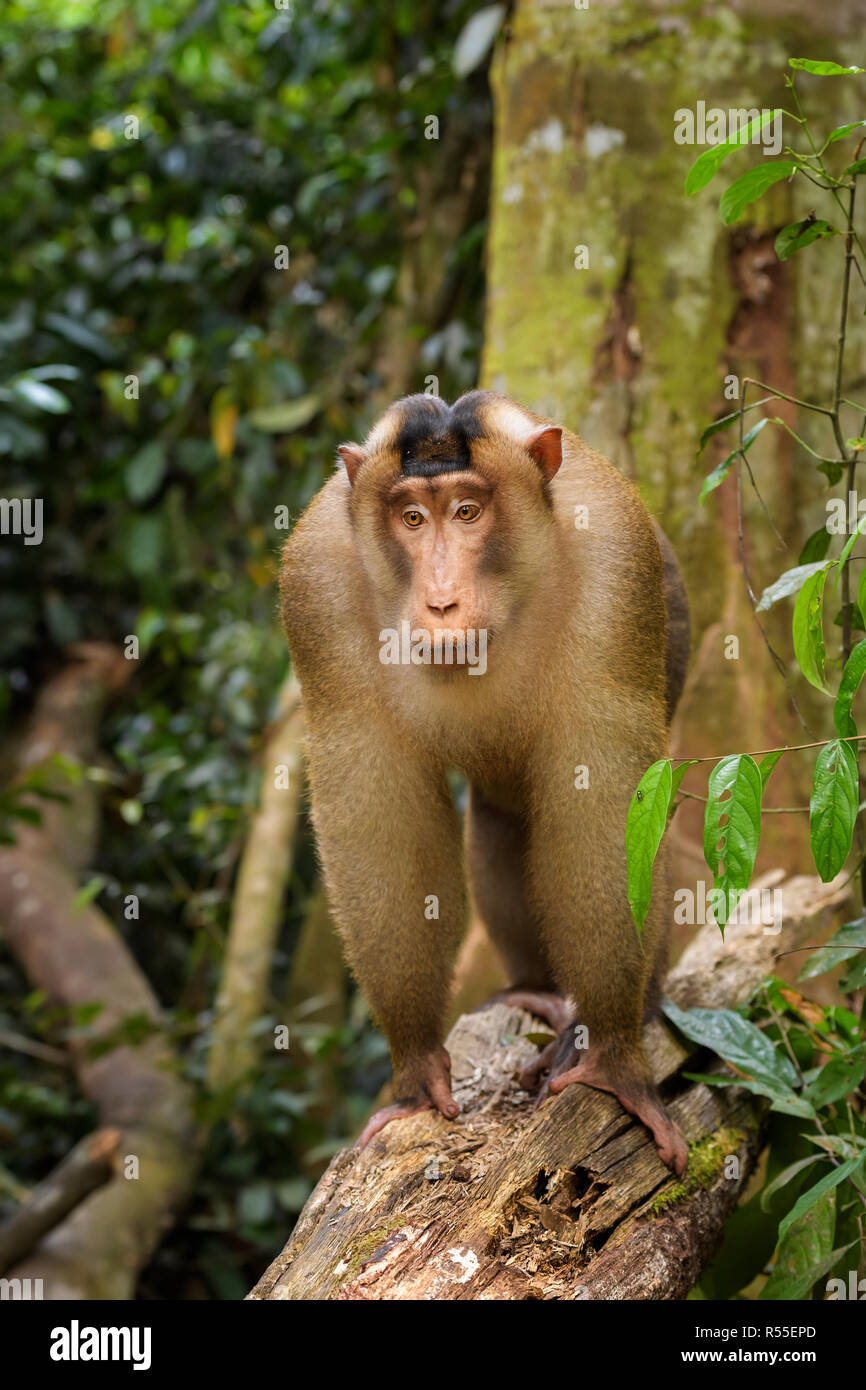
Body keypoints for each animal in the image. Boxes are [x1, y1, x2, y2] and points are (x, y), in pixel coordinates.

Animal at [280, 390, 691, 1175]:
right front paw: (414, 1069)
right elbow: (376, 805)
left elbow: (606, 800)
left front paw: (614, 1059)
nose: (441, 603)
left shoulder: (617, 560)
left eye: (468, 511)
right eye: (413, 518)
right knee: (503, 817)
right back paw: (537, 992)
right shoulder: (315, 582)